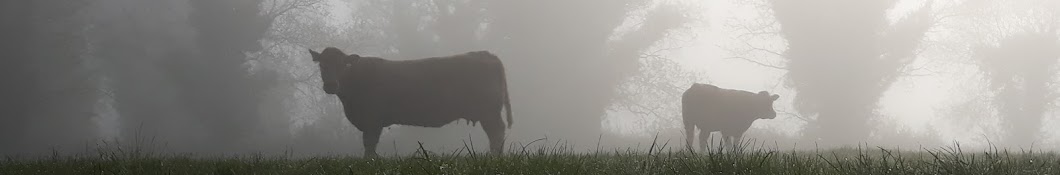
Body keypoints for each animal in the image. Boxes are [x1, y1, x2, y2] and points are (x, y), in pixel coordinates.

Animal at [307, 47, 513, 156]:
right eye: (322, 65)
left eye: (343, 65)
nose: (331, 85)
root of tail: (485, 53)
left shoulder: (372, 120)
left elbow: (370, 144)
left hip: (489, 112)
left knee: (496, 132)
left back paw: (494, 157)